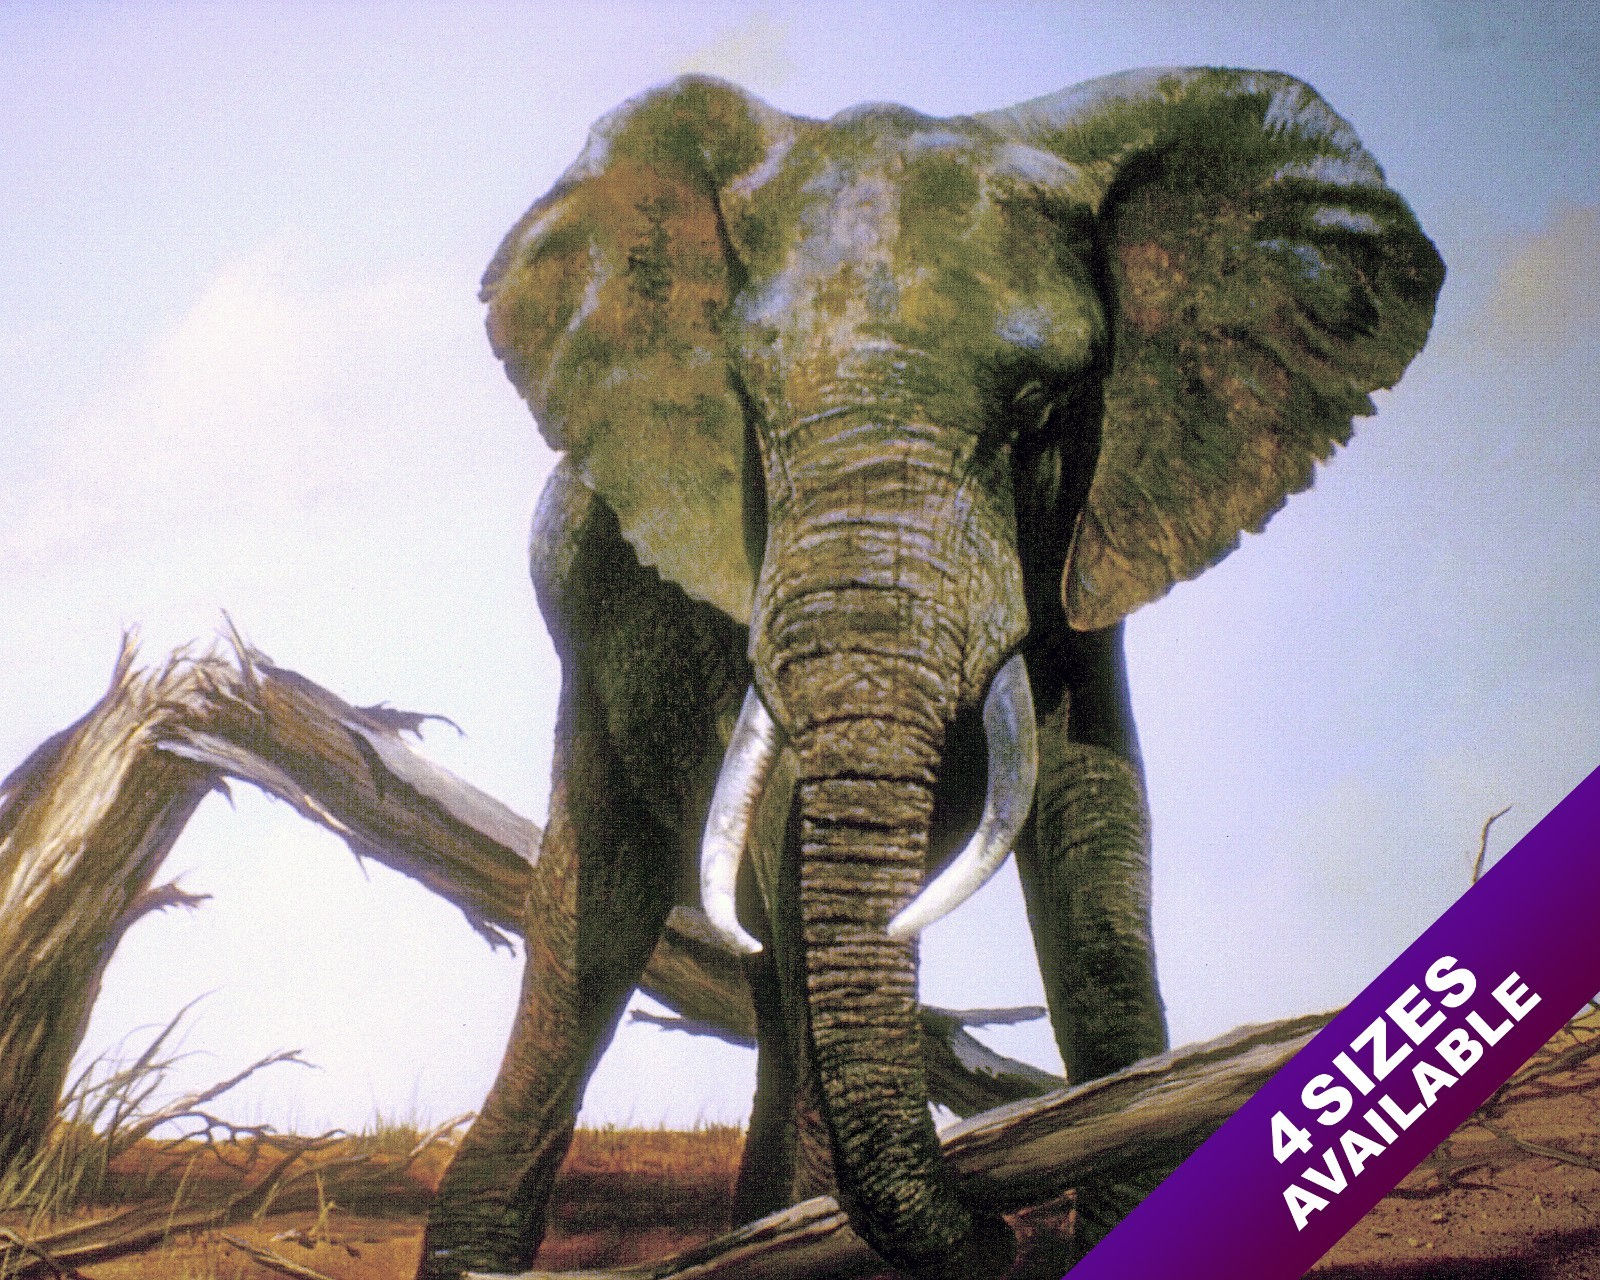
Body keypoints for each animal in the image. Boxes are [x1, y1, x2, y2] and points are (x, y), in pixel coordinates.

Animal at [415, 67, 1443, 1279]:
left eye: (1040, 409)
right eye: (749, 406)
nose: (999, 1229)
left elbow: (1096, 827)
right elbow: (794, 850)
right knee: (598, 919)